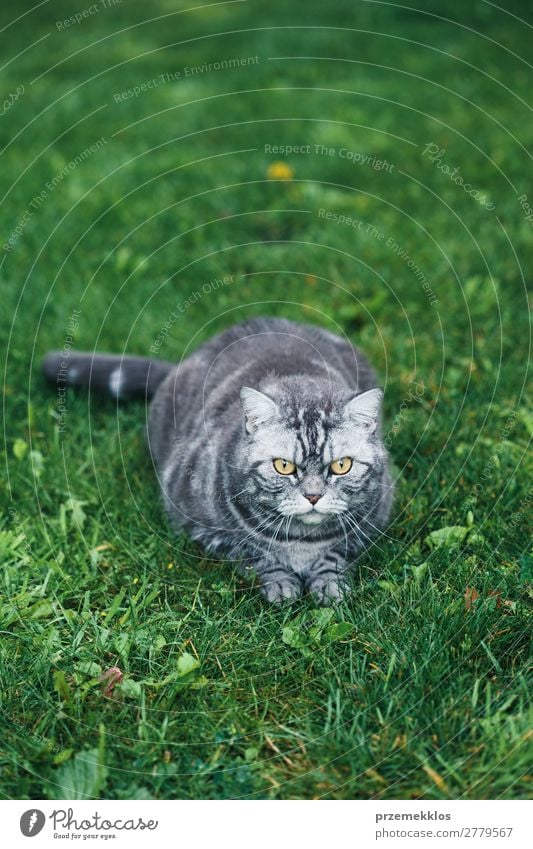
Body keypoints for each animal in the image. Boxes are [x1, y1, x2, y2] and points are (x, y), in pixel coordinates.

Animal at [43, 318, 392, 604]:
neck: (301, 542)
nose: (313, 496)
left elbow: (338, 552)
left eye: (341, 466)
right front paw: (281, 582)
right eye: (284, 466)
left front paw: (329, 583)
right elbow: (254, 554)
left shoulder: (374, 521)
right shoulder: (200, 526)